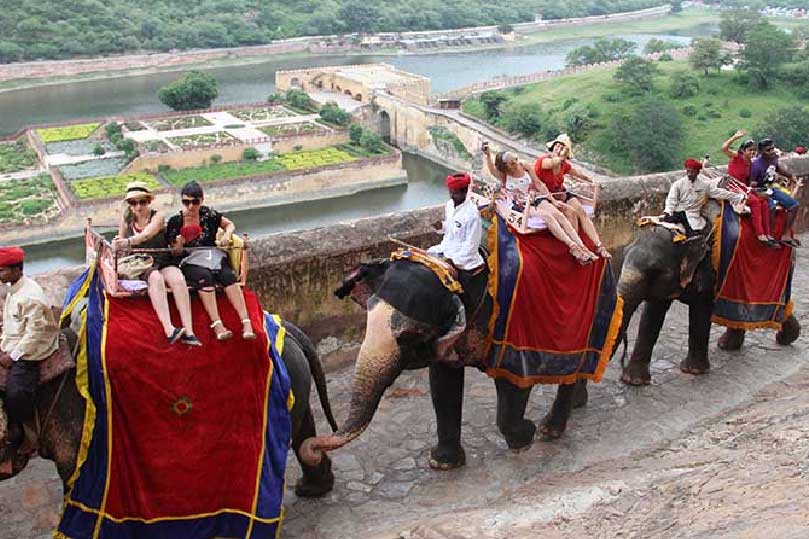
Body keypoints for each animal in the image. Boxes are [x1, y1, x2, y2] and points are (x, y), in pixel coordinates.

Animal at [300, 258, 584, 472]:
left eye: (408, 336)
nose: (312, 449)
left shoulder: (513, 321)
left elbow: (513, 379)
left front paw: (525, 436)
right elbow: (442, 383)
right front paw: (442, 463)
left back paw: (550, 429)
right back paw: (577, 406)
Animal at [616, 201, 800, 384]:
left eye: (653, 270)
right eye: (623, 254)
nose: (621, 361)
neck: (684, 232)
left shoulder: (709, 270)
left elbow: (700, 312)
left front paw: (693, 371)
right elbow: (652, 315)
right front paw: (634, 381)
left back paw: (780, 338)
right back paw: (732, 345)